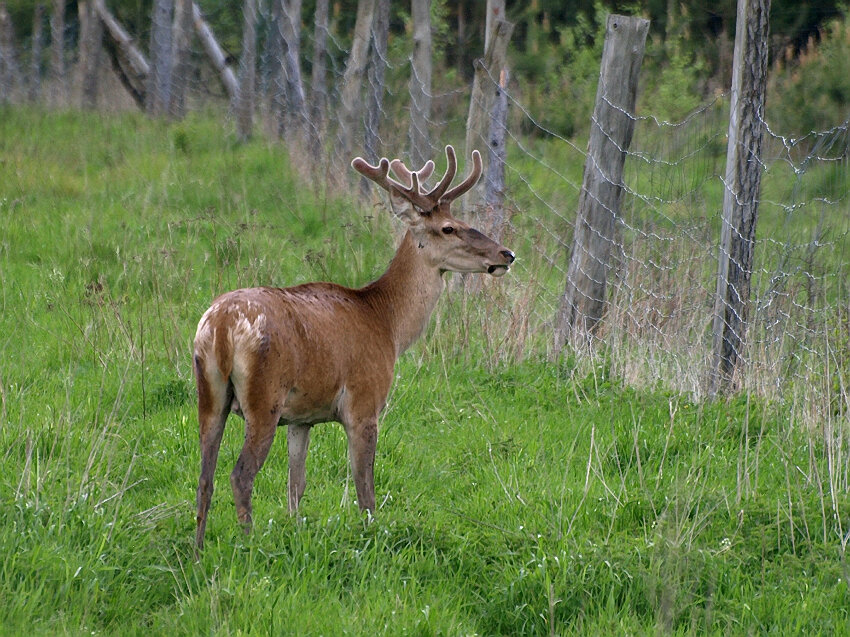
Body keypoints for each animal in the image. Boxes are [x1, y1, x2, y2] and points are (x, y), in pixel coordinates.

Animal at [191, 144, 510, 548]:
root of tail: (221, 326)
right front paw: (371, 538)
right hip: (264, 398)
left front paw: (297, 531)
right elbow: (365, 491)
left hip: (210, 392)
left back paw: (198, 550)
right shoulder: (364, 403)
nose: (506, 254)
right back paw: (248, 545)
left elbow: (296, 485)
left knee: (205, 477)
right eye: (448, 227)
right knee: (240, 475)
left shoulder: (301, 417)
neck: (387, 324)